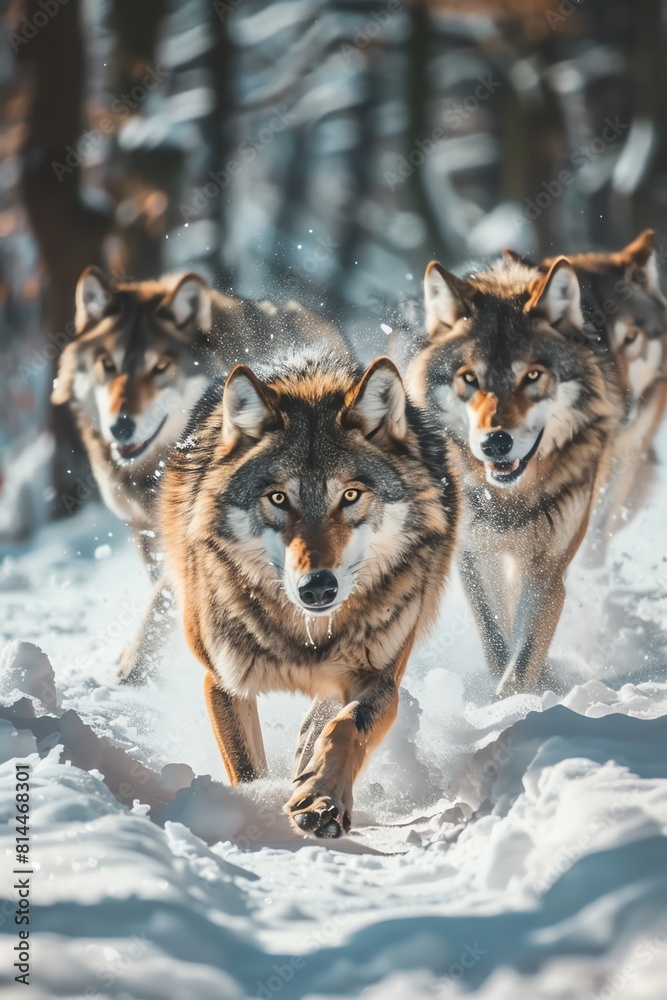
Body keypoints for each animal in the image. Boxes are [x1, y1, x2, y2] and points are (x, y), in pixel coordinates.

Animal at [138, 353, 457, 838]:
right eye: (278, 498)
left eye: (350, 495)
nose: (317, 586)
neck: (306, 635)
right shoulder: (222, 681)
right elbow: (247, 768)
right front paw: (258, 807)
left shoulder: (382, 680)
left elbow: (345, 727)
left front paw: (322, 799)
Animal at [408, 255, 621, 696]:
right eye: (469, 378)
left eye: (532, 376)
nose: (495, 443)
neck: (509, 497)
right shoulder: (473, 555)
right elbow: (496, 639)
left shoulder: (547, 570)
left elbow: (522, 658)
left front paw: (518, 702)